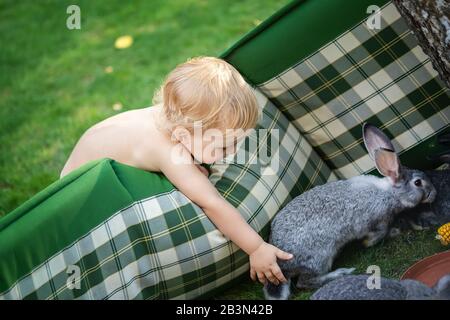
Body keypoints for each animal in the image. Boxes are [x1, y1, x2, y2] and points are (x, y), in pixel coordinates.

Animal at [264, 123, 436, 300]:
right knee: (304, 282)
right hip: (320, 257)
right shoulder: (377, 220)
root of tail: (281, 265)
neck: (390, 193)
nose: (434, 193)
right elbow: (379, 233)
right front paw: (371, 241)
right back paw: (340, 273)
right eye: (418, 183)